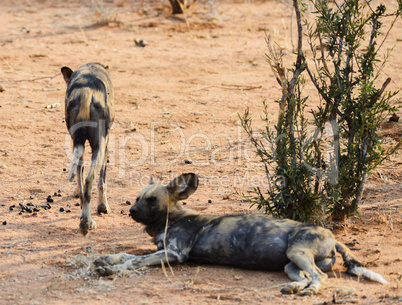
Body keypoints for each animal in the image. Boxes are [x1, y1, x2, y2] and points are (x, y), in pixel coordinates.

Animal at [61, 62, 114, 235]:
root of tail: (86, 92)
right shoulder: (106, 143)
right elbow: (102, 182)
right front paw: (103, 207)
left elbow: (80, 177)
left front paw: (77, 192)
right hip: (100, 147)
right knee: (90, 180)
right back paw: (87, 223)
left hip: (78, 143)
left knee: (82, 178)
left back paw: (84, 220)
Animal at [92, 173, 388, 294]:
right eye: (136, 198)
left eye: (151, 200)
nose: (131, 212)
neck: (173, 218)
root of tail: (333, 236)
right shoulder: (162, 250)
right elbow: (127, 255)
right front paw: (107, 259)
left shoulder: (174, 254)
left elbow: (135, 262)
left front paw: (111, 270)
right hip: (291, 262)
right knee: (306, 276)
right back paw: (293, 288)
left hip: (298, 252)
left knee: (319, 278)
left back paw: (309, 292)